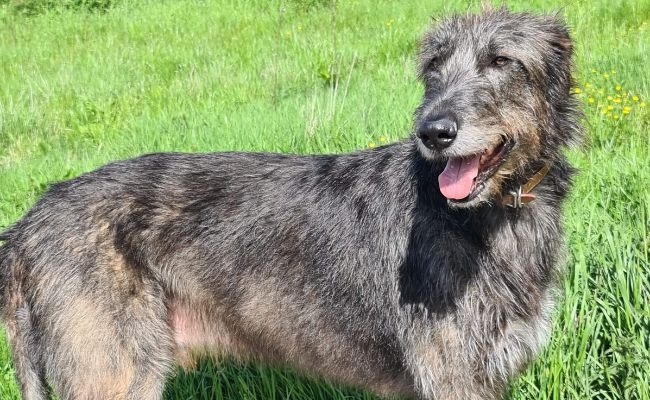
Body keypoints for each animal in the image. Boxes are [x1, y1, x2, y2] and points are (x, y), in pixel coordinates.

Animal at [0, 9, 576, 400]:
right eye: (434, 68)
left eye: (501, 60)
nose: (433, 131)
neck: (482, 219)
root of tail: (26, 225)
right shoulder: (451, 376)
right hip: (115, 371)